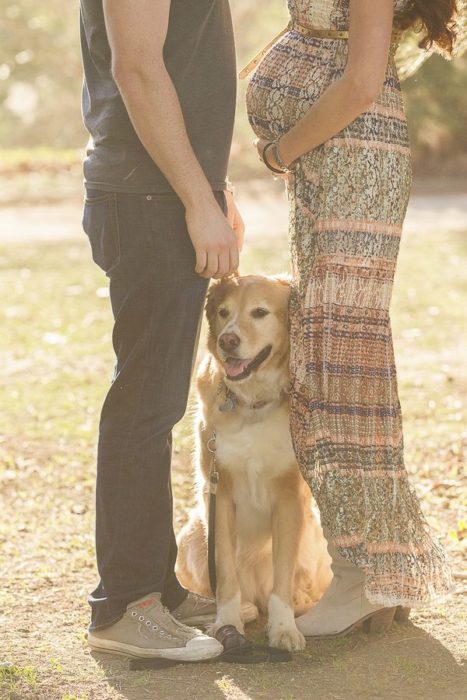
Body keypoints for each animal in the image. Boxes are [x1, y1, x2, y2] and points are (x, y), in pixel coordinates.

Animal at [176, 274, 332, 652]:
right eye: (223, 312)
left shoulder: (289, 497)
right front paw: (227, 623)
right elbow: (225, 572)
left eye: (259, 312)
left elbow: (283, 574)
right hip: (193, 534)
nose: (227, 340)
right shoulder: (219, 492)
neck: (252, 403)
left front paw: (283, 628)